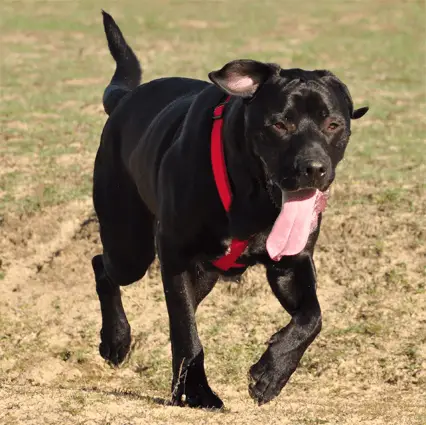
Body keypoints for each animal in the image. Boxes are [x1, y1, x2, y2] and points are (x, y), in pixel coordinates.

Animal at [91, 10, 368, 408]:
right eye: (279, 123)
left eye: (333, 124)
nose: (313, 169)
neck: (252, 199)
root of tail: (124, 100)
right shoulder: (174, 254)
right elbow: (186, 332)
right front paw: (197, 392)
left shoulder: (291, 263)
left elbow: (312, 317)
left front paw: (270, 375)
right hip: (130, 248)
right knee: (103, 266)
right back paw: (116, 340)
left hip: (200, 273)